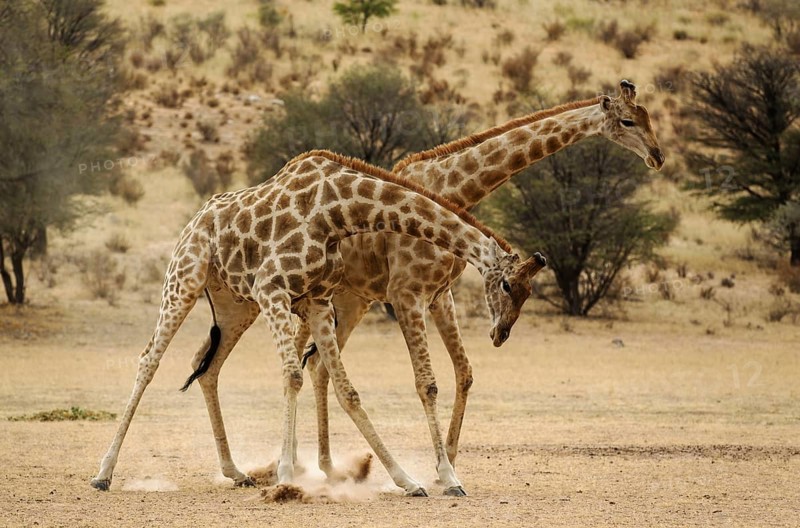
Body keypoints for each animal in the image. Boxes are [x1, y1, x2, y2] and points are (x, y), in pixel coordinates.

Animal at [90, 149, 547, 496]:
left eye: (527, 294)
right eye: (507, 285)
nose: (501, 334)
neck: (339, 211)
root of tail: (197, 215)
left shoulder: (316, 300)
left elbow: (348, 390)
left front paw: (408, 480)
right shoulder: (273, 288)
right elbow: (293, 375)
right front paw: (286, 476)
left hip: (235, 304)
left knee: (209, 366)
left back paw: (235, 471)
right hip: (185, 278)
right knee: (149, 360)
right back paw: (103, 473)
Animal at [151, 80, 664, 496]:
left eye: (650, 118)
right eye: (627, 120)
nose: (658, 156)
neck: (457, 188)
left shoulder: (440, 295)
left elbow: (464, 373)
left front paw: (447, 466)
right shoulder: (407, 295)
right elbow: (426, 382)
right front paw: (444, 474)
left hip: (338, 302)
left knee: (285, 365)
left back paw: (315, 467)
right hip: (315, 300)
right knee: (283, 364)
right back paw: (293, 466)